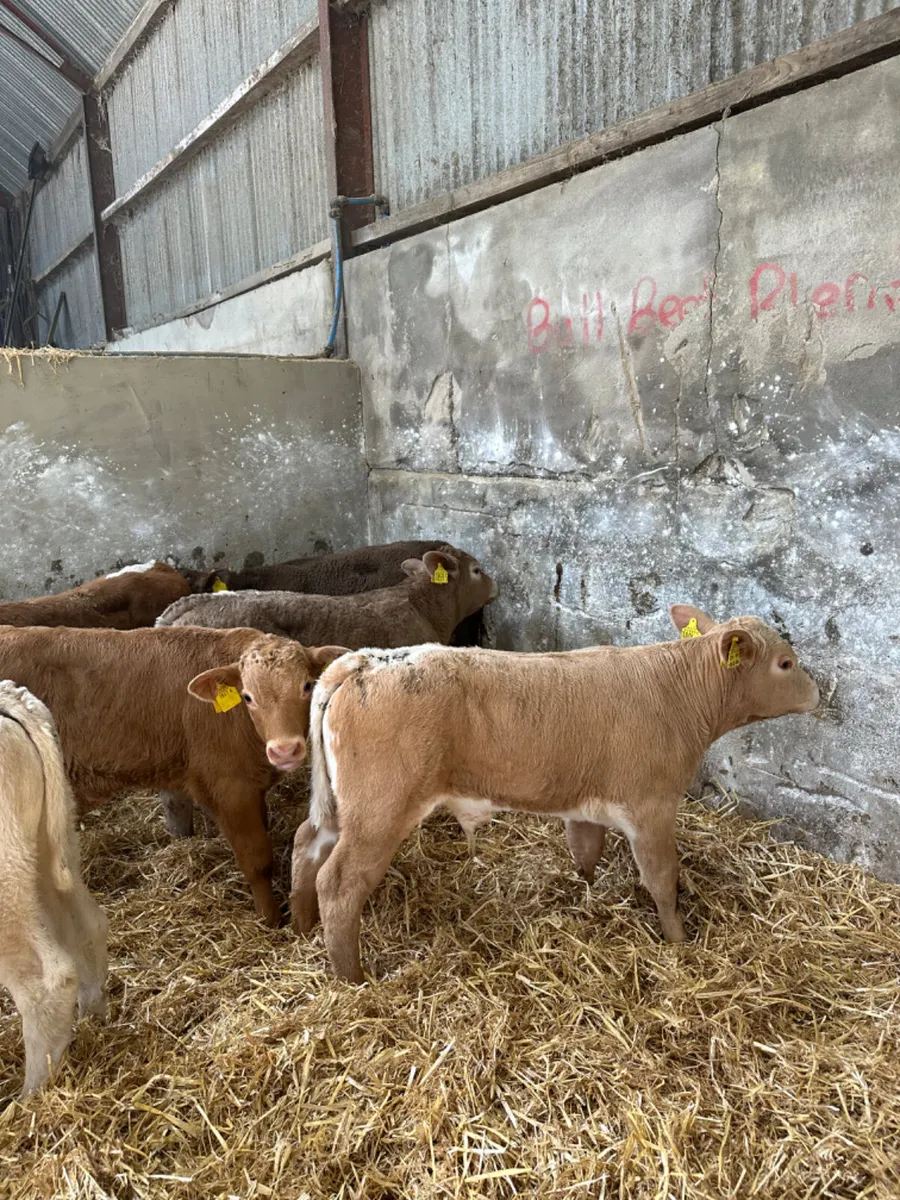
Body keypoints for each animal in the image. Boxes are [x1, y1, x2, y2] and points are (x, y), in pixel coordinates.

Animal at [0, 627, 347, 926]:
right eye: (248, 697)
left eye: (306, 686)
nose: (285, 750)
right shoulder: (229, 788)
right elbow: (257, 860)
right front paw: (271, 920)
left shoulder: (252, 786)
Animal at [289, 605, 820, 982]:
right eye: (785, 663)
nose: (818, 694)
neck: (677, 691)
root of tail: (365, 659)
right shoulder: (652, 807)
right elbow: (662, 880)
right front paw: (679, 942)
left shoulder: (586, 804)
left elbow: (585, 852)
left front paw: (584, 895)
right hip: (379, 811)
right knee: (338, 882)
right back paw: (353, 977)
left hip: (342, 806)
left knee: (305, 843)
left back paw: (300, 926)